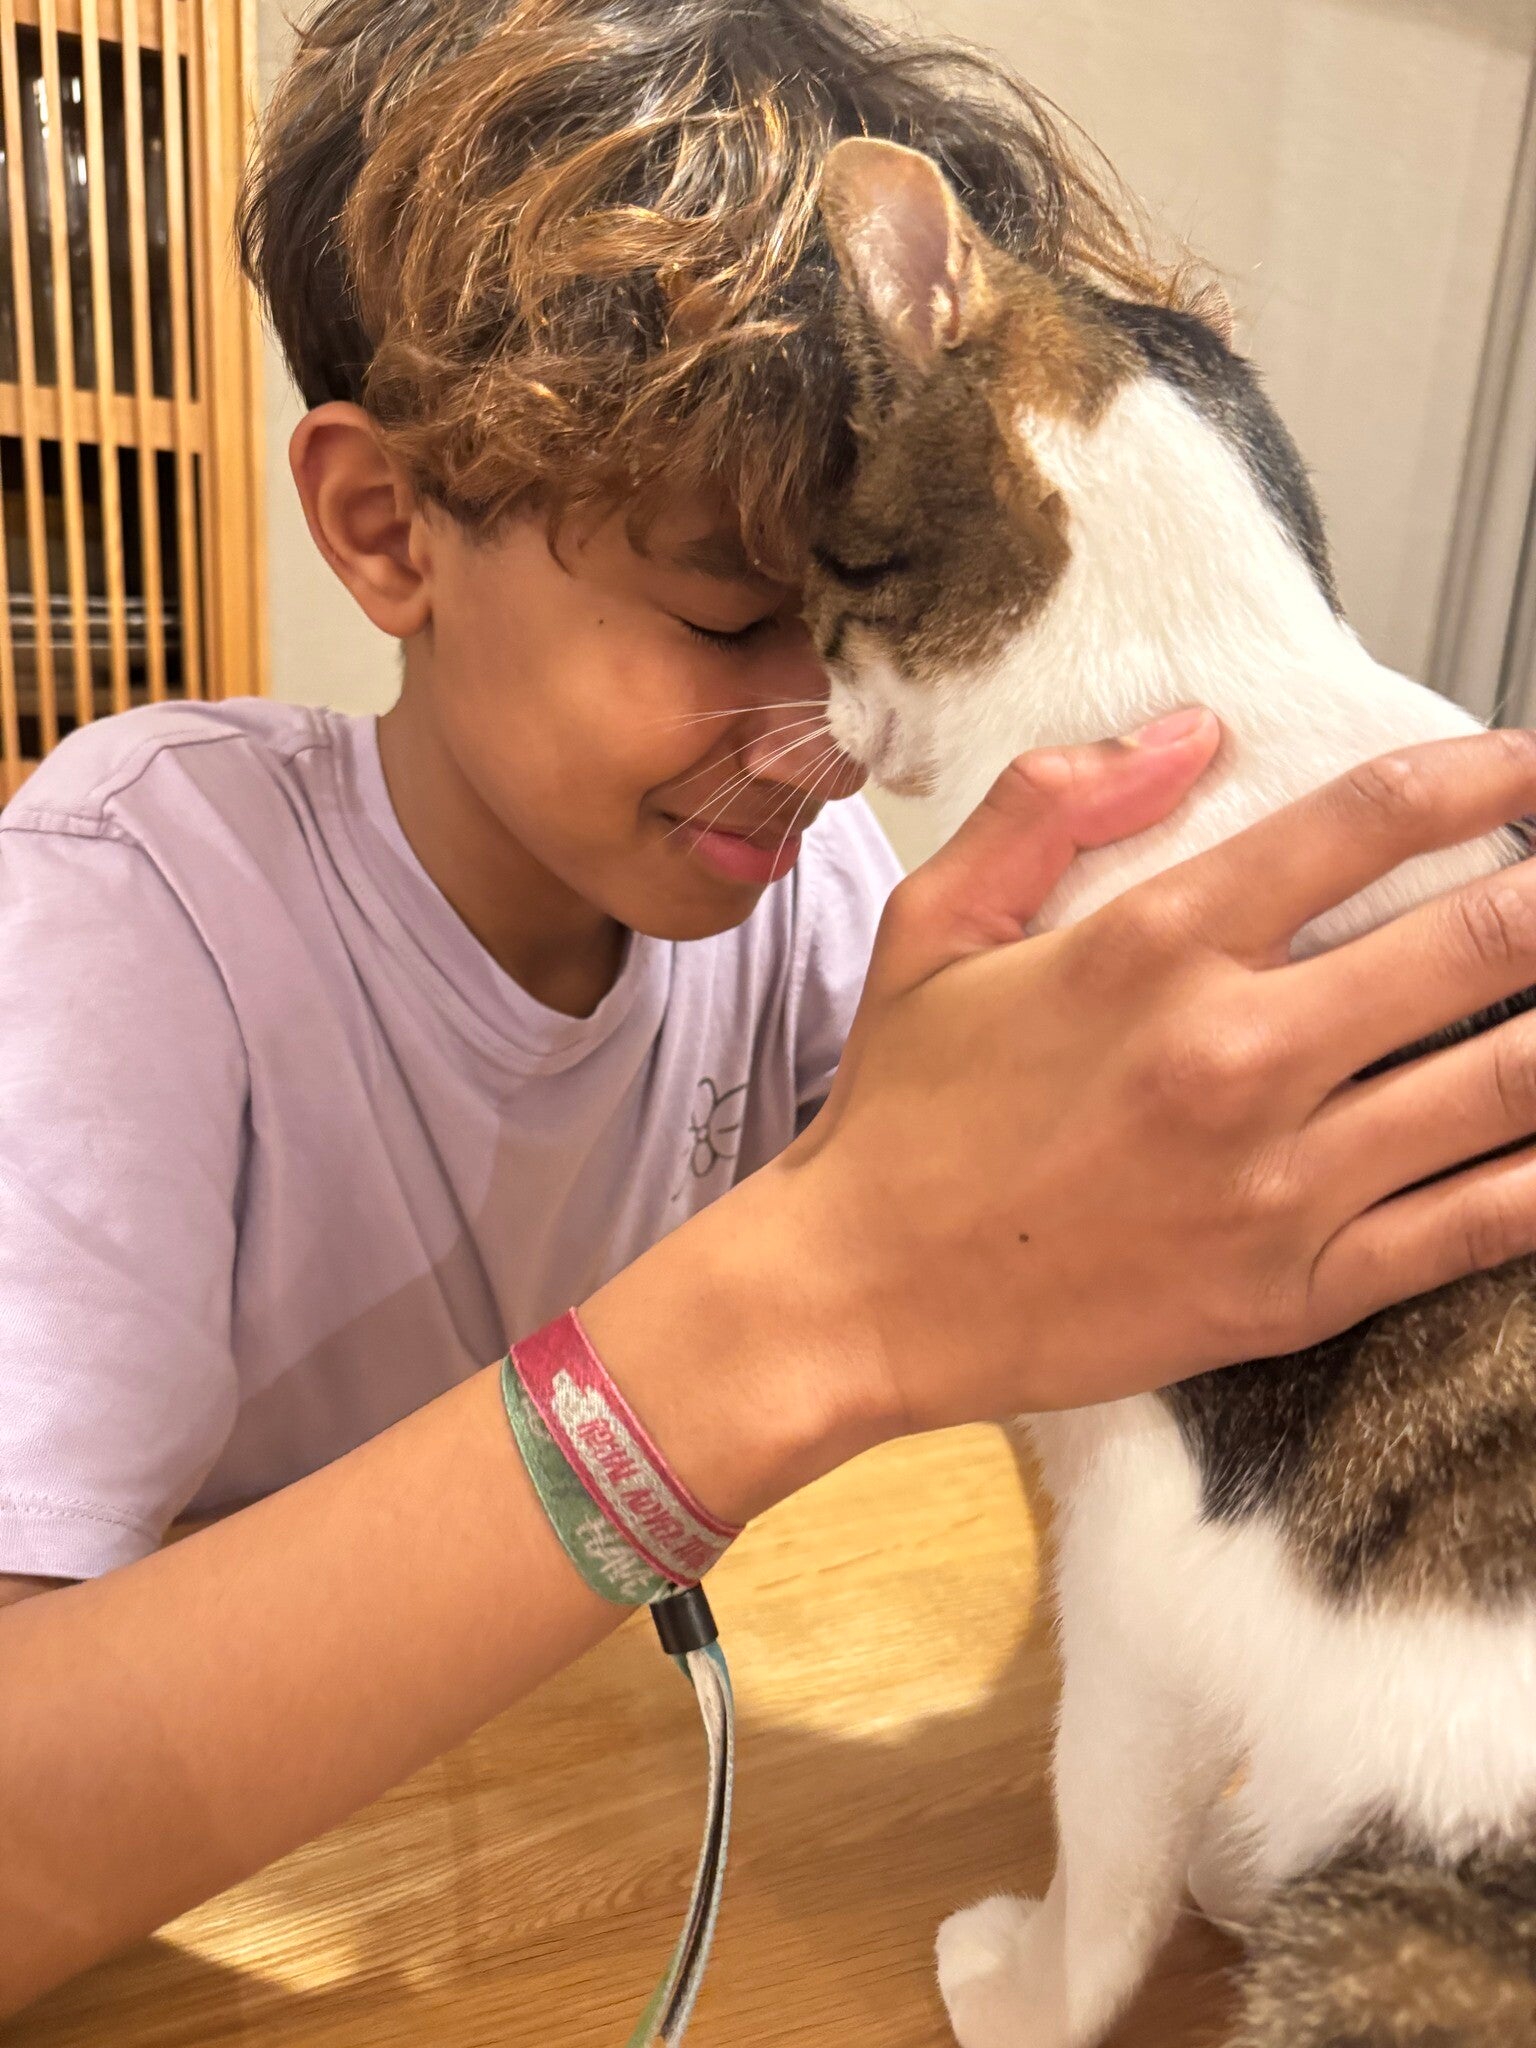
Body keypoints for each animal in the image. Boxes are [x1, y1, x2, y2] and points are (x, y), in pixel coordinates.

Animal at [804, 136, 1536, 2048]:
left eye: (817, 576)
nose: (820, 719)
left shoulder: (1141, 1542)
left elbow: (1106, 1829)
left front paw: (1031, 1981)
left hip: (1412, 1934)